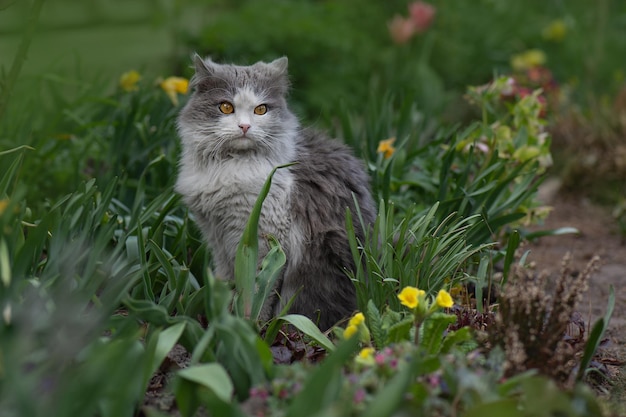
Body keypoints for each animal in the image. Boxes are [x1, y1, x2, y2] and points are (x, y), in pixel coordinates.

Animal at [173, 55, 372, 328]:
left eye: (261, 110)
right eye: (225, 107)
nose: (244, 126)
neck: (231, 164)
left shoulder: (265, 237)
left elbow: (258, 292)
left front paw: (250, 326)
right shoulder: (218, 238)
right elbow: (227, 280)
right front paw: (223, 314)